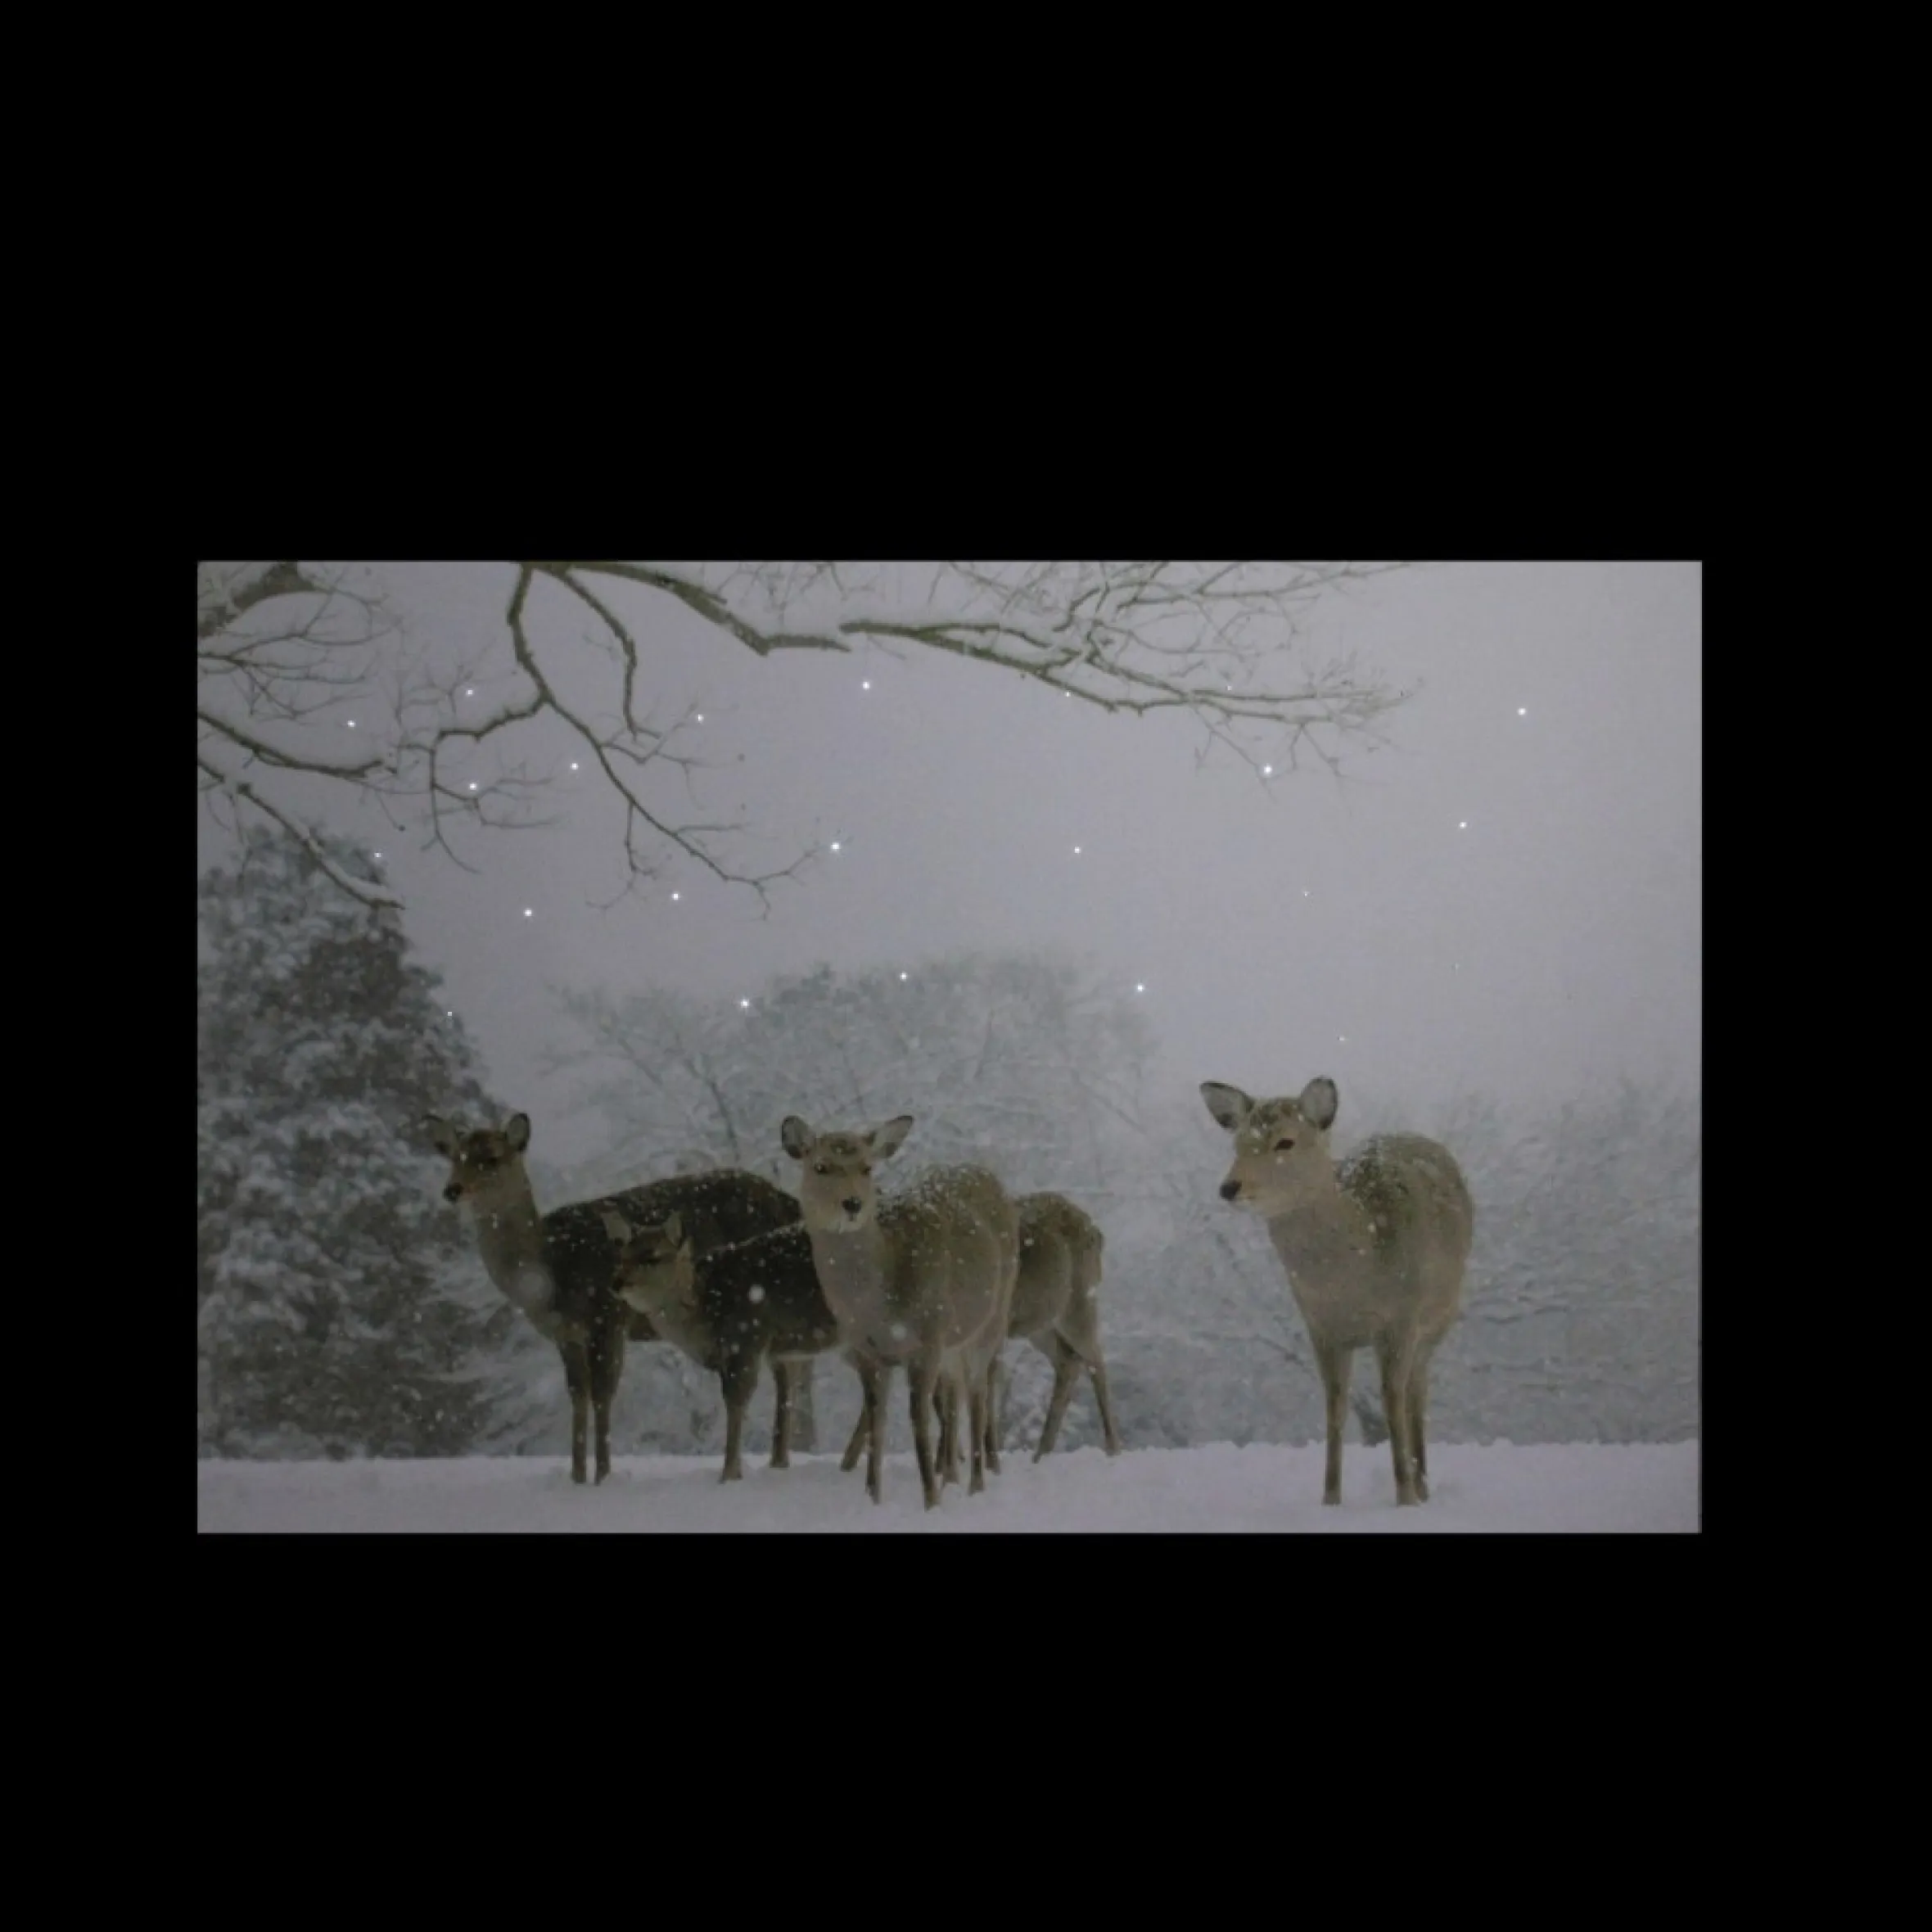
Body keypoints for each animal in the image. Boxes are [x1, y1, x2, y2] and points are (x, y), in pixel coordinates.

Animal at [416, 1112, 801, 1485]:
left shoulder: (608, 1315)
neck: (550, 1276)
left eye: (493, 1157)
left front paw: (603, 1476)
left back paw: (777, 1461)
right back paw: (777, 1461)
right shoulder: (565, 1334)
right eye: (454, 1156)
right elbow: (577, 1393)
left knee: (786, 1371)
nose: (452, 1190)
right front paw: (575, 1476)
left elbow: (602, 1393)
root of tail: (790, 1201)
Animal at [600, 1209, 850, 1484]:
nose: (617, 1282)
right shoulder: (782, 1350)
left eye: (653, 1256)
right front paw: (776, 1465)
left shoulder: (745, 1339)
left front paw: (729, 1474)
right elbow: (785, 1398)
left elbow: (735, 1402)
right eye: (622, 1255)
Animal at [780, 1113, 1017, 1509]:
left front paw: (931, 1502)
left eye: (867, 1167)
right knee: (955, 1394)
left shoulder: (927, 1338)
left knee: (978, 1393)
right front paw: (873, 1497)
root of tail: (987, 1174)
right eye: (821, 1166)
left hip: (992, 1318)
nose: (853, 1203)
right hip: (953, 1342)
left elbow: (918, 1419)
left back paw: (975, 1485)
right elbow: (877, 1420)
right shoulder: (867, 1350)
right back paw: (952, 1477)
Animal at [1200, 1077, 1472, 1508]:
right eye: (1238, 1144)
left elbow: (1390, 1401)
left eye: (1286, 1142)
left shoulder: (1400, 1318)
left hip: (1439, 1318)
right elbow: (1335, 1406)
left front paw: (1404, 1498)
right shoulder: (1320, 1327)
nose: (1230, 1187)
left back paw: (1423, 1486)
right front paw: (1330, 1498)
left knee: (1416, 1393)